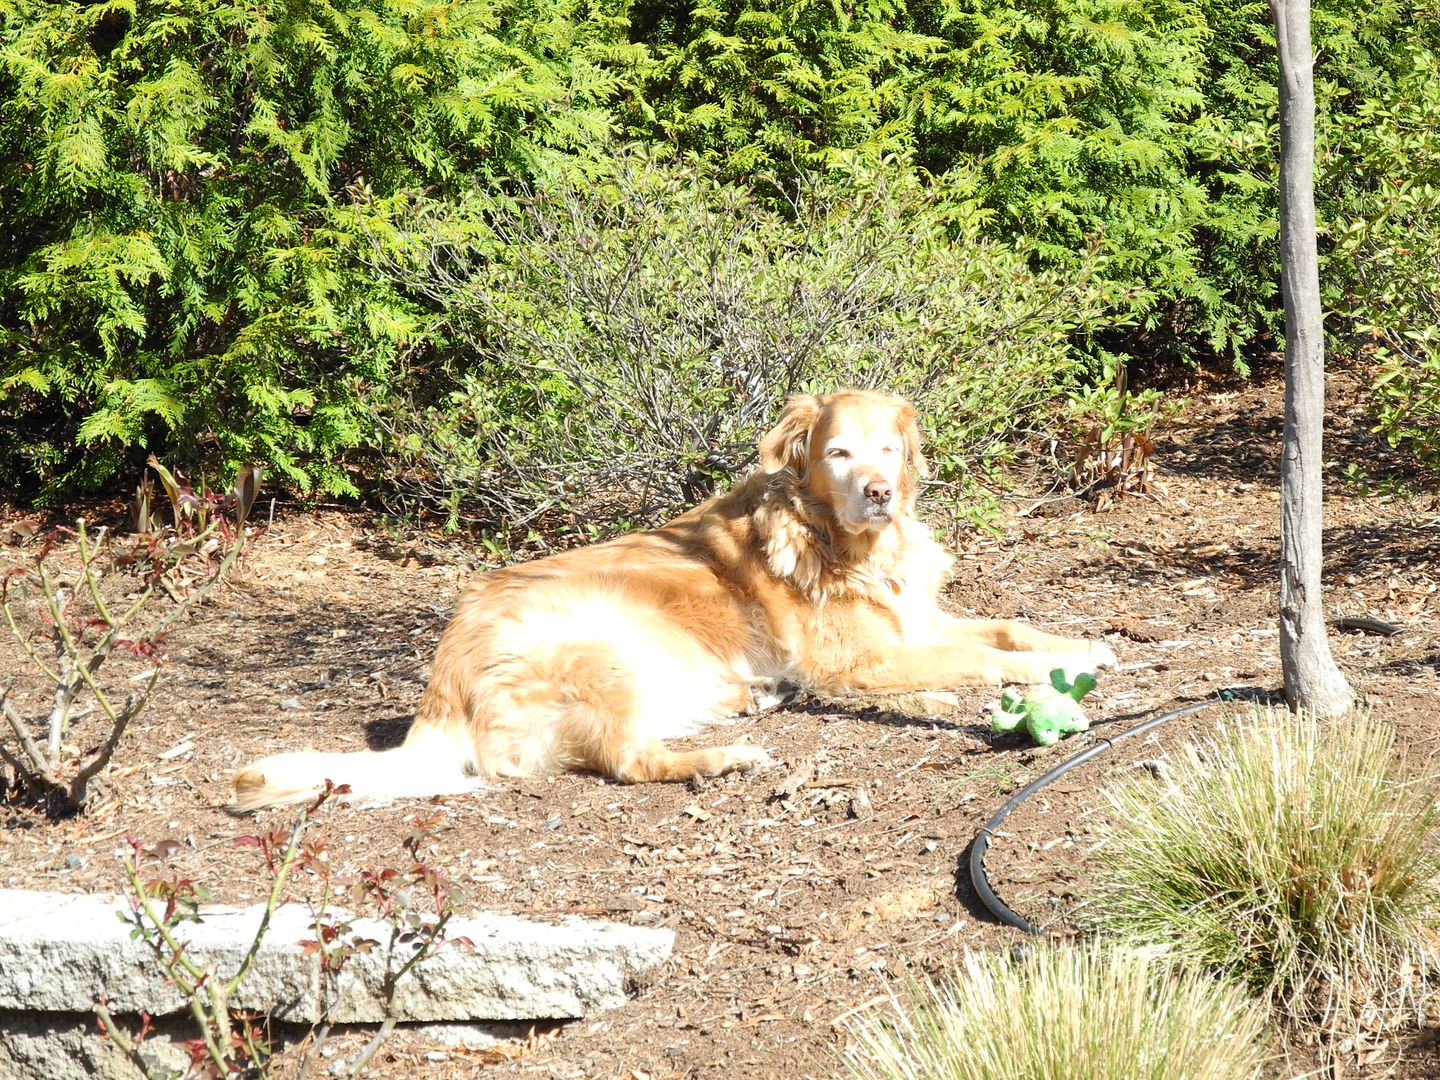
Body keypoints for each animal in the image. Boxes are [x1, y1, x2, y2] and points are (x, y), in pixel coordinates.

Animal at [230, 391, 1117, 812]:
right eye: (837, 452)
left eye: (890, 449)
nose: (880, 493)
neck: (853, 545)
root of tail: (441, 686)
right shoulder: (863, 657)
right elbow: (984, 657)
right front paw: (1050, 675)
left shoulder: (919, 620)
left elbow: (1009, 627)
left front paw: (1086, 644)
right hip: (602, 644)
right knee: (631, 761)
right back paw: (728, 757)